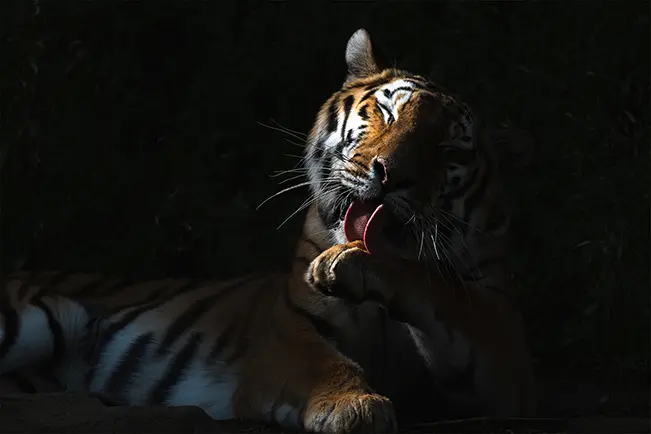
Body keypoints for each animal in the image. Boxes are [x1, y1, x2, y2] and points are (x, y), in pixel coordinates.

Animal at [0, 28, 535, 432]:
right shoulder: (289, 329)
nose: (389, 174)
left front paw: (355, 265)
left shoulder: (503, 353)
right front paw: (356, 407)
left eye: (448, 150)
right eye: (386, 112)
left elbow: (438, 289)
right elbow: (322, 361)